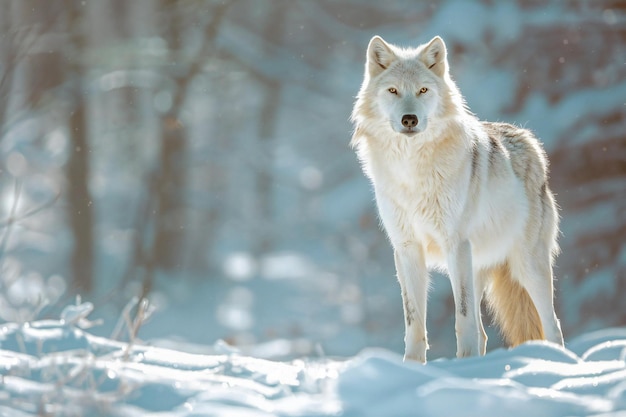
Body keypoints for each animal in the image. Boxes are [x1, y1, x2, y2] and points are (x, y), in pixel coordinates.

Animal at [352, 35, 560, 360]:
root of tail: (529, 140)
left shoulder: (455, 244)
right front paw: (411, 365)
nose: (409, 119)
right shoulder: (407, 249)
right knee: (484, 333)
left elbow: (461, 317)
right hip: (479, 266)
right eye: (393, 90)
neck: (413, 172)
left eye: (423, 90)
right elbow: (414, 321)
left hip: (526, 266)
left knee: (552, 326)